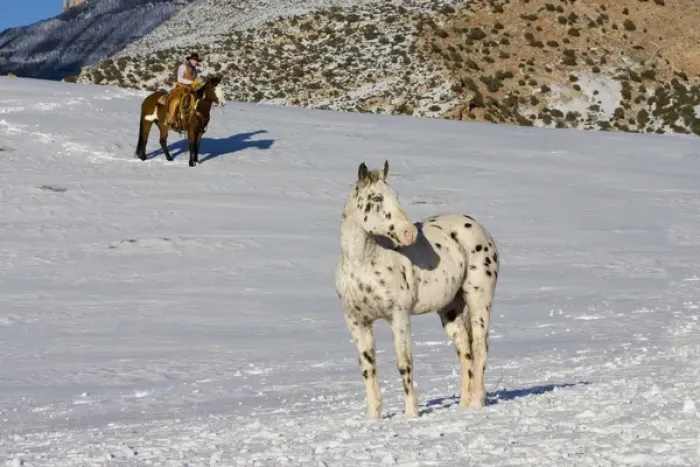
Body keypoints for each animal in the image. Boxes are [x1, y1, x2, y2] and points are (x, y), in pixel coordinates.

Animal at [334, 161, 500, 419]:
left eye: (395, 195)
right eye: (376, 198)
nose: (408, 233)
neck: (363, 264)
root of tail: (478, 228)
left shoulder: (399, 316)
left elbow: (404, 364)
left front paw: (411, 414)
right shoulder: (357, 321)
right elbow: (368, 368)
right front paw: (373, 417)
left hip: (479, 302)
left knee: (480, 348)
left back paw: (476, 404)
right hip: (450, 311)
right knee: (465, 351)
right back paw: (464, 404)